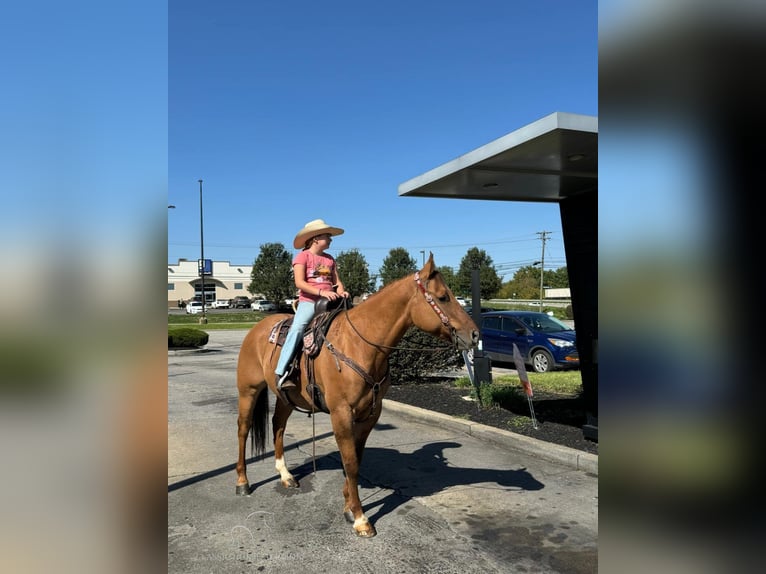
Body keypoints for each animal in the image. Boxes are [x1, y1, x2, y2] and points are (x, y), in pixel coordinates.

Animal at [234, 254, 480, 536]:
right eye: (443, 297)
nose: (475, 334)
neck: (360, 344)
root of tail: (256, 330)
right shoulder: (340, 413)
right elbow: (349, 461)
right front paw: (361, 518)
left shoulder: (370, 413)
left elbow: (356, 459)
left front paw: (349, 508)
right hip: (248, 391)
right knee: (243, 429)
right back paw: (242, 482)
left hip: (287, 398)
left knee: (278, 427)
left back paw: (285, 476)